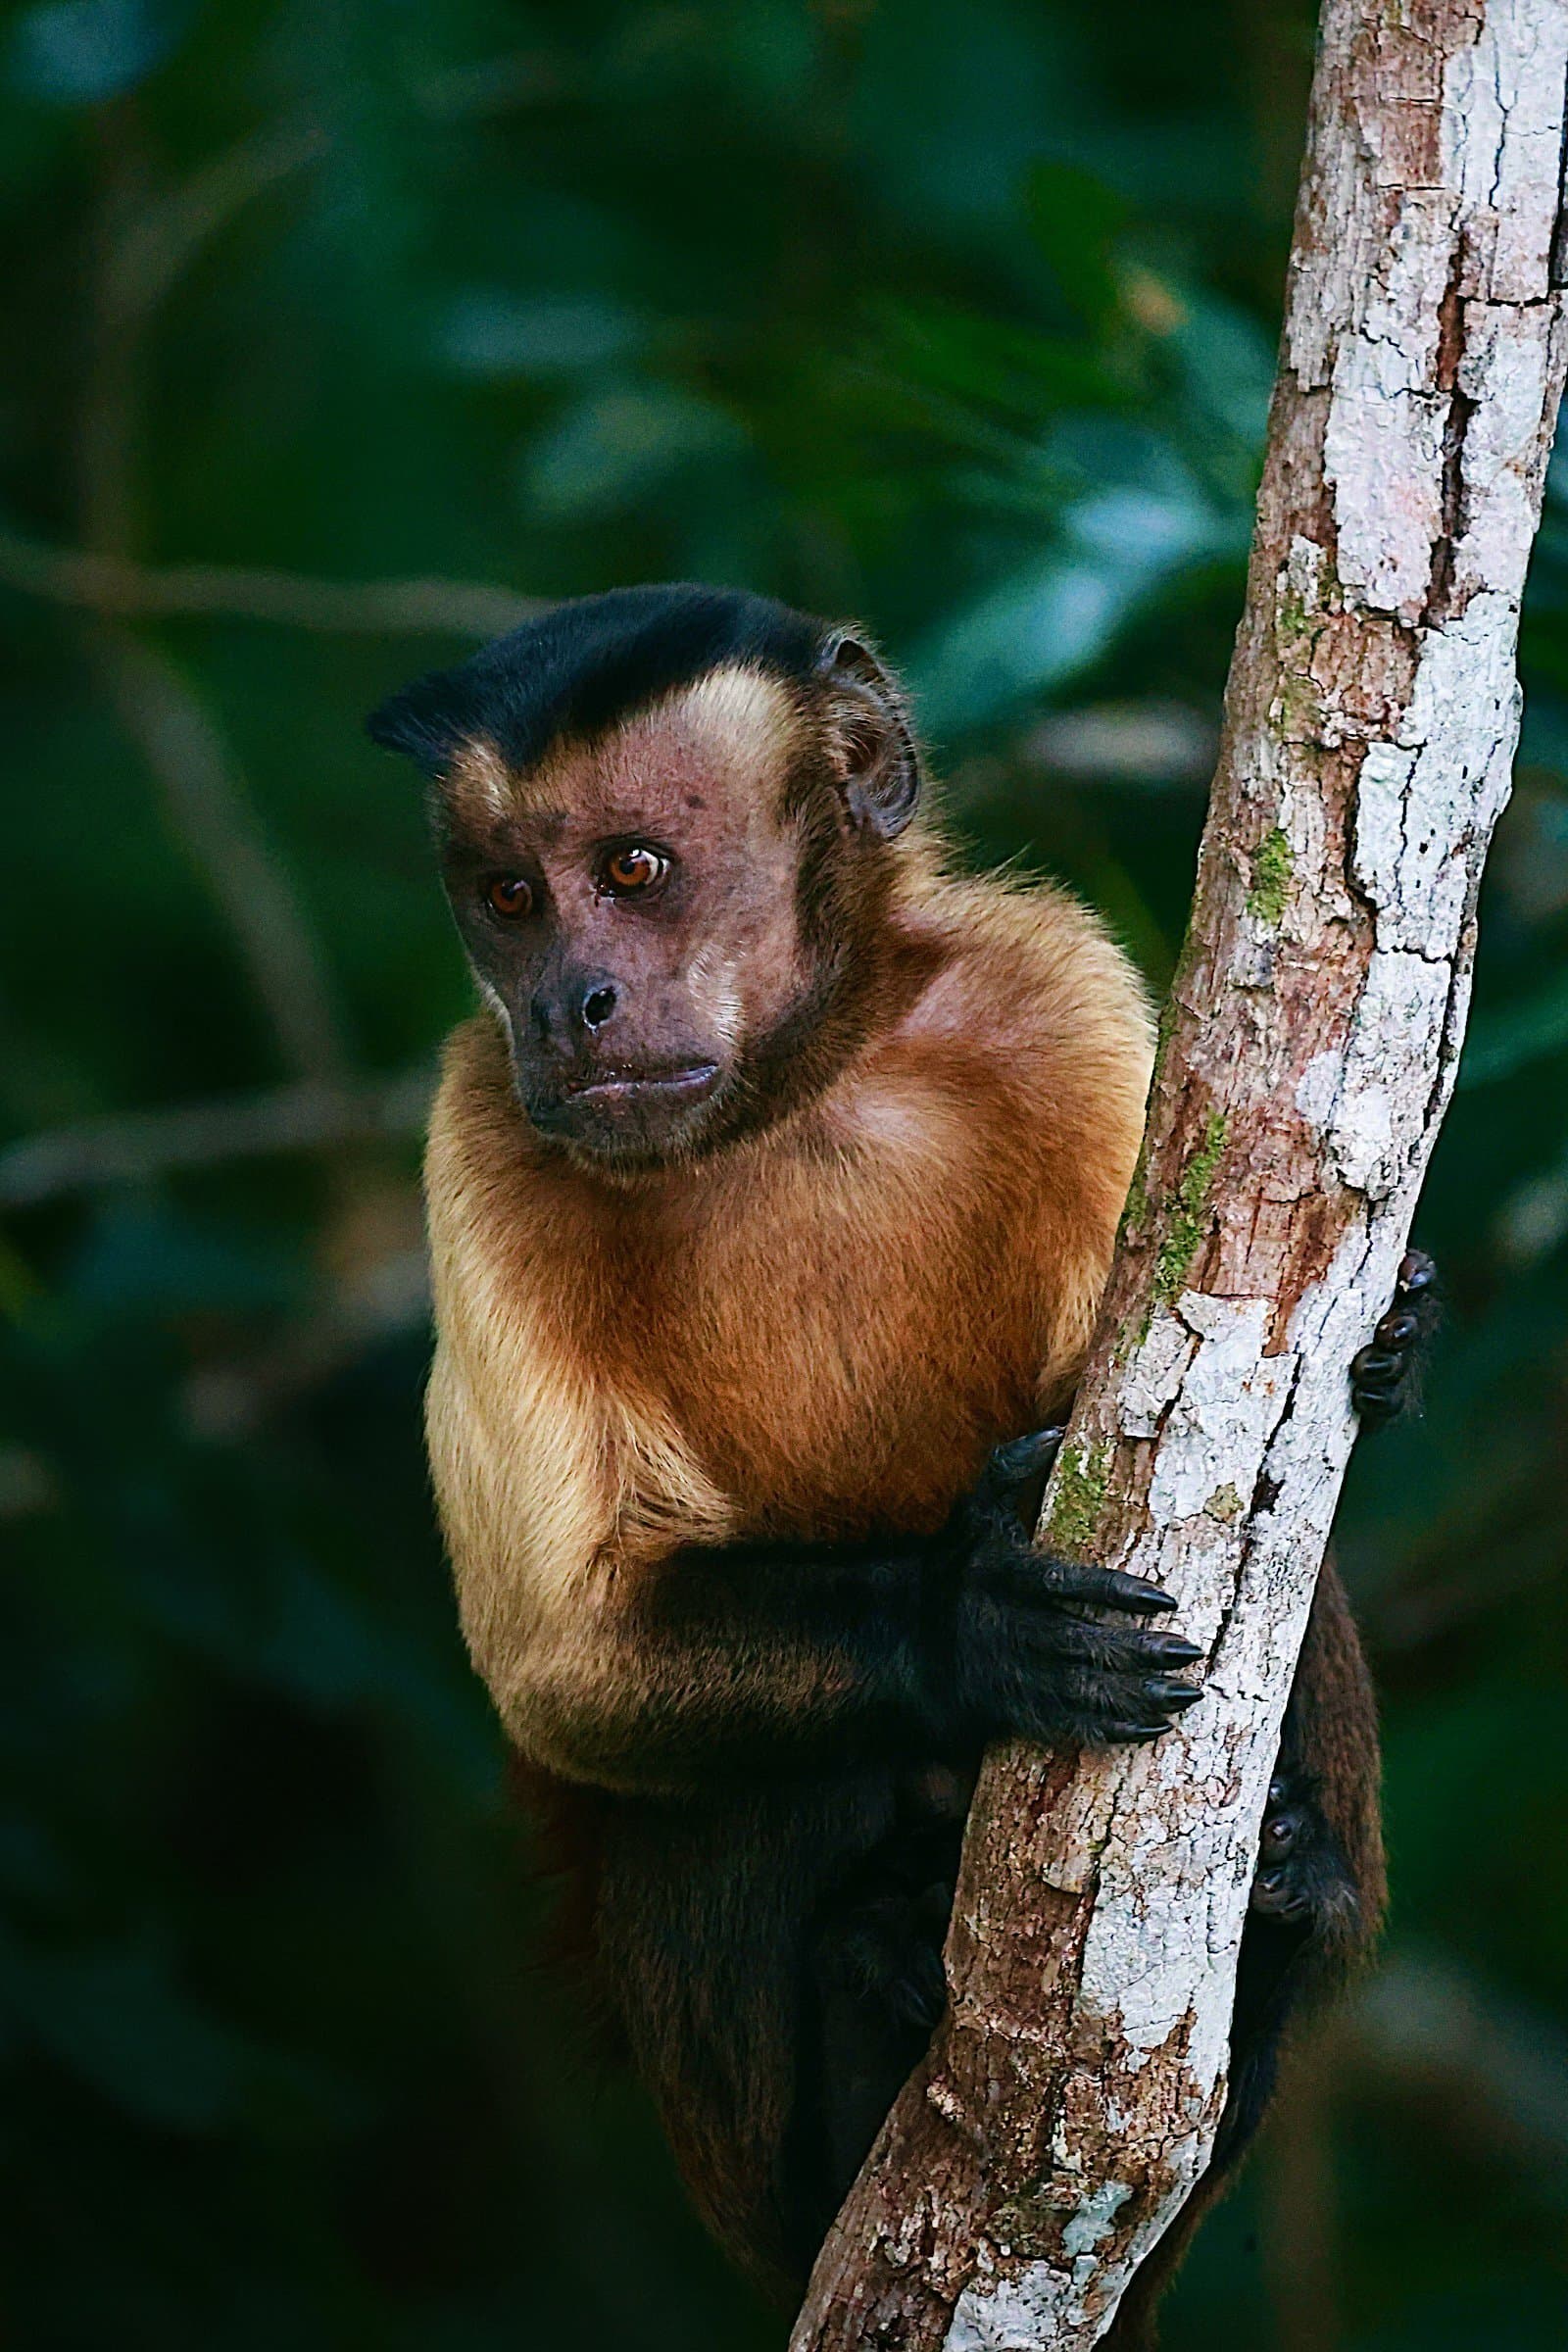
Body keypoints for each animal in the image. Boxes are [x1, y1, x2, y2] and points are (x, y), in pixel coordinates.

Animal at [368, 584, 1432, 2343]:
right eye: (509, 900)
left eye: (632, 872)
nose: (567, 1000)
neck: (793, 1094)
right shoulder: (476, 1128)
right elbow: (563, 1661)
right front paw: (968, 1622)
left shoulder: (1051, 986)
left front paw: (1397, 1334)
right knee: (739, 1790)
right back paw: (878, 2006)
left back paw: (1277, 1923)